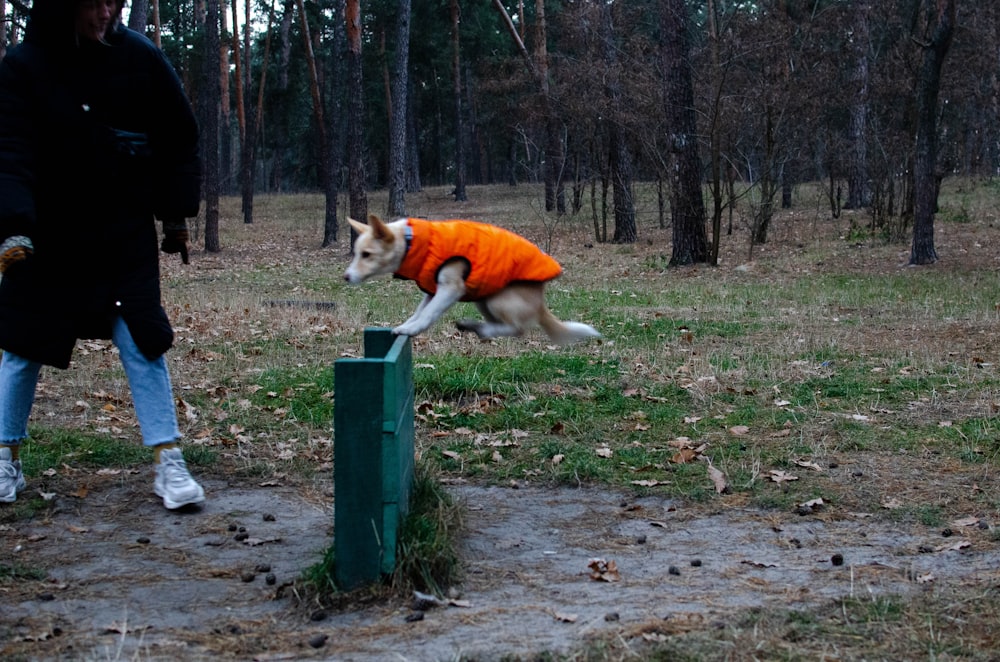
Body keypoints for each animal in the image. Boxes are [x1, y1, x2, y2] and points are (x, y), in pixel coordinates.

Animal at [342, 215, 600, 348]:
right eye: (356, 253)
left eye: (366, 254)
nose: (346, 277)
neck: (411, 240)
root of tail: (540, 304)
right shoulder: (431, 291)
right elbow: (419, 312)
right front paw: (406, 325)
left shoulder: (450, 288)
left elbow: (427, 315)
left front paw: (411, 330)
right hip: (483, 299)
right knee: (506, 327)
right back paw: (476, 327)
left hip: (498, 299)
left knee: (517, 329)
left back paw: (480, 328)